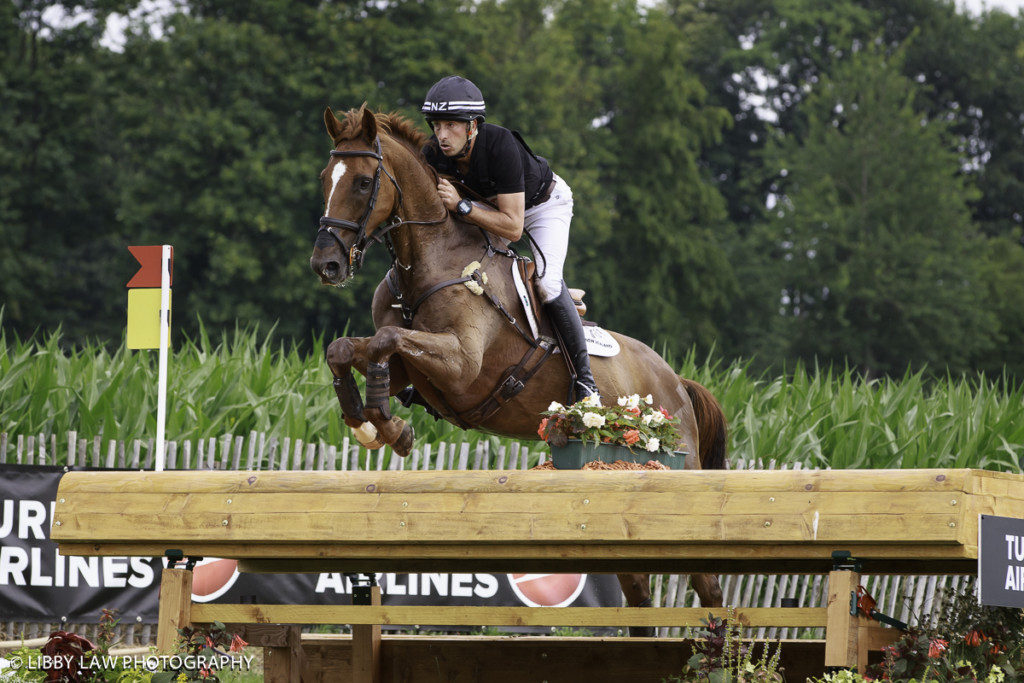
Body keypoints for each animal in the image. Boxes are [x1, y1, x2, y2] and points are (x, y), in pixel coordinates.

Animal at [307, 104, 724, 626]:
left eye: (364, 182)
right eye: (325, 178)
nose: (326, 265)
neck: (433, 261)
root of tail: (678, 383)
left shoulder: (461, 364)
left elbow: (385, 340)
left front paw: (387, 422)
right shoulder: (414, 367)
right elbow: (347, 349)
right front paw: (370, 423)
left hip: (677, 465)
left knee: (708, 586)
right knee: (639, 595)